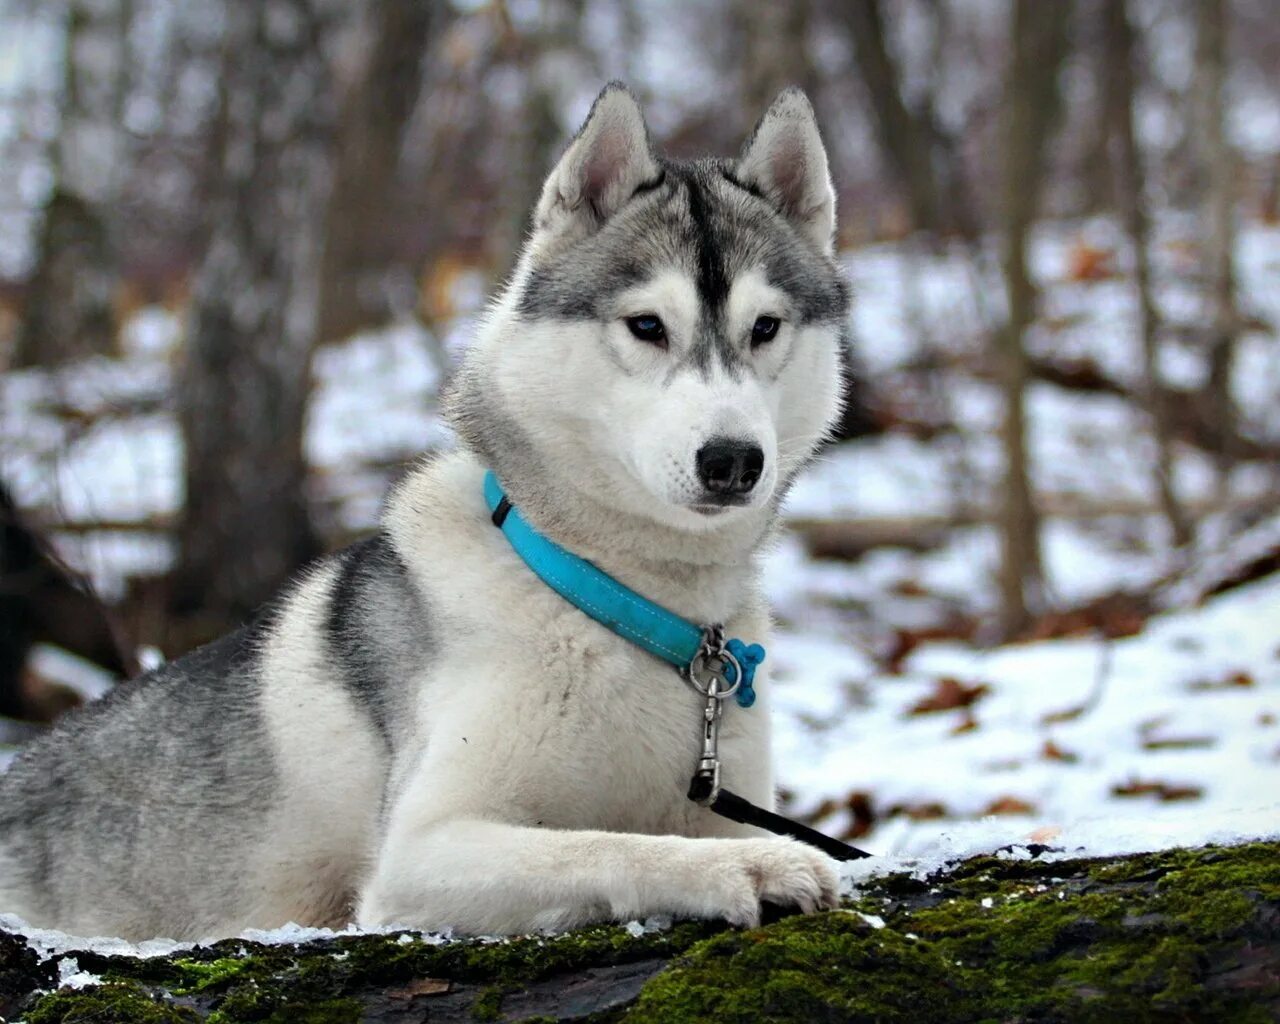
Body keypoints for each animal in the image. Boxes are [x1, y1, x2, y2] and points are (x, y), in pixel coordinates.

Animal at [2, 83, 860, 942]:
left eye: (765, 328)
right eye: (648, 326)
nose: (733, 460)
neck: (627, 607)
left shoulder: (723, 796)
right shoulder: (421, 853)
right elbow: (612, 845)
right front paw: (749, 868)